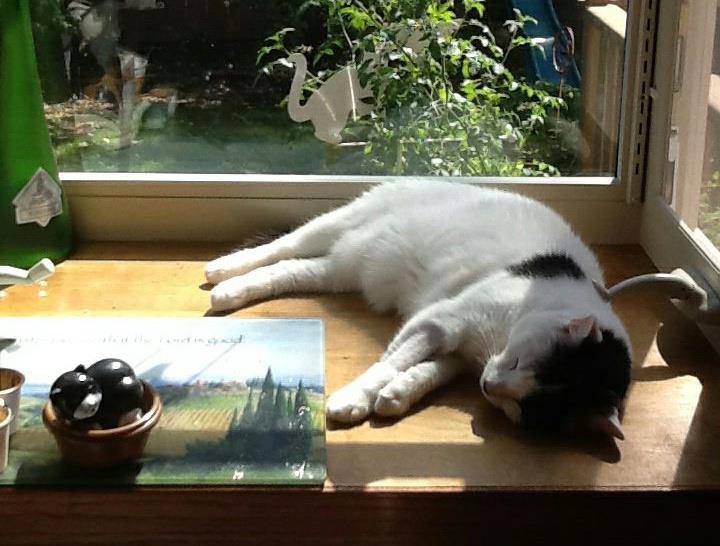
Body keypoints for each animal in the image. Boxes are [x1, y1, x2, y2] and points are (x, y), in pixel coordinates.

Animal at [204, 181, 632, 440]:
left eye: (522, 405)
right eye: (517, 364)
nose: (489, 387)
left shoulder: (460, 354)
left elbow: (429, 372)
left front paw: (397, 395)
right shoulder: (441, 322)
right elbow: (388, 364)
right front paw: (356, 398)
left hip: (340, 269)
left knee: (289, 269)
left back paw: (233, 289)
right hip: (334, 226)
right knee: (281, 246)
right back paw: (223, 274)